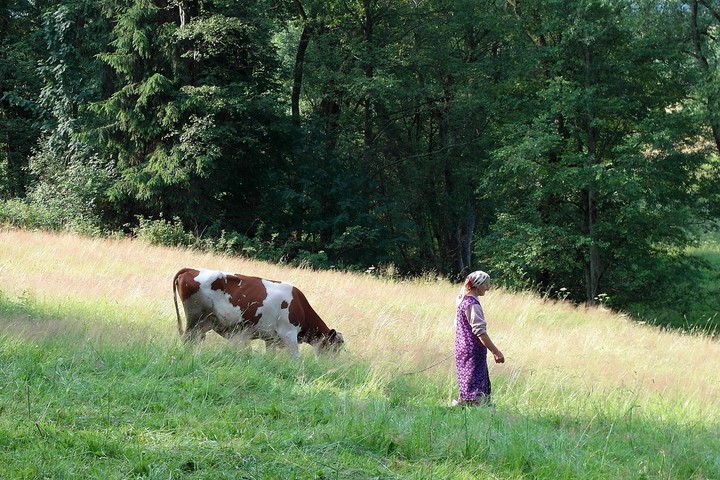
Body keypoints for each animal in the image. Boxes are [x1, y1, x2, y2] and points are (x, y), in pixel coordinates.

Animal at [173, 266, 344, 356]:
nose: (331, 366)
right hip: (194, 319)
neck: (300, 306)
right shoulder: (288, 334)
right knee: (188, 339)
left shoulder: (271, 340)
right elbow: (296, 357)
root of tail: (191, 270)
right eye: (335, 348)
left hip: (202, 324)